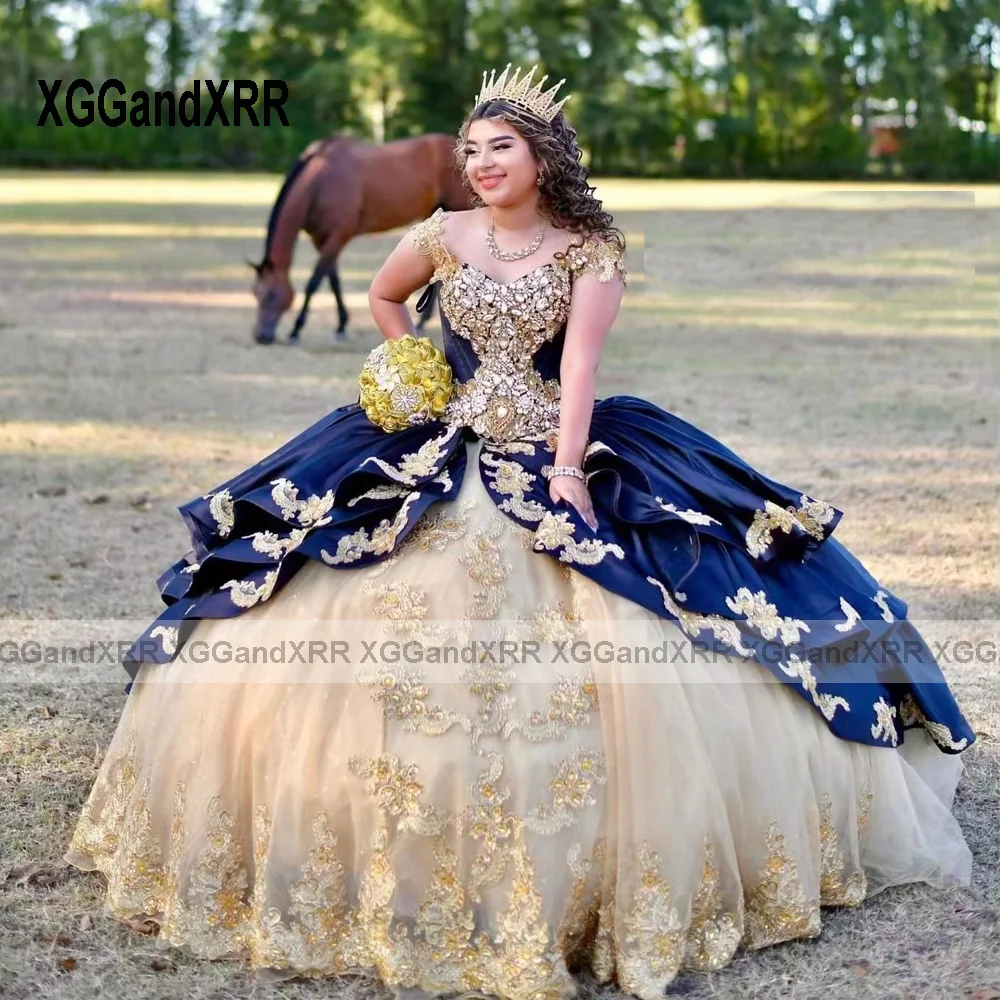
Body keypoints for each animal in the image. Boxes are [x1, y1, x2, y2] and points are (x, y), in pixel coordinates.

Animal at [248, 133, 470, 344]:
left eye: (270, 295)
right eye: (255, 293)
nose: (261, 336)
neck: (320, 182)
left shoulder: (339, 236)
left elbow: (314, 282)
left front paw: (296, 330)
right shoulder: (322, 241)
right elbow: (333, 281)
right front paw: (341, 325)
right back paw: (423, 322)